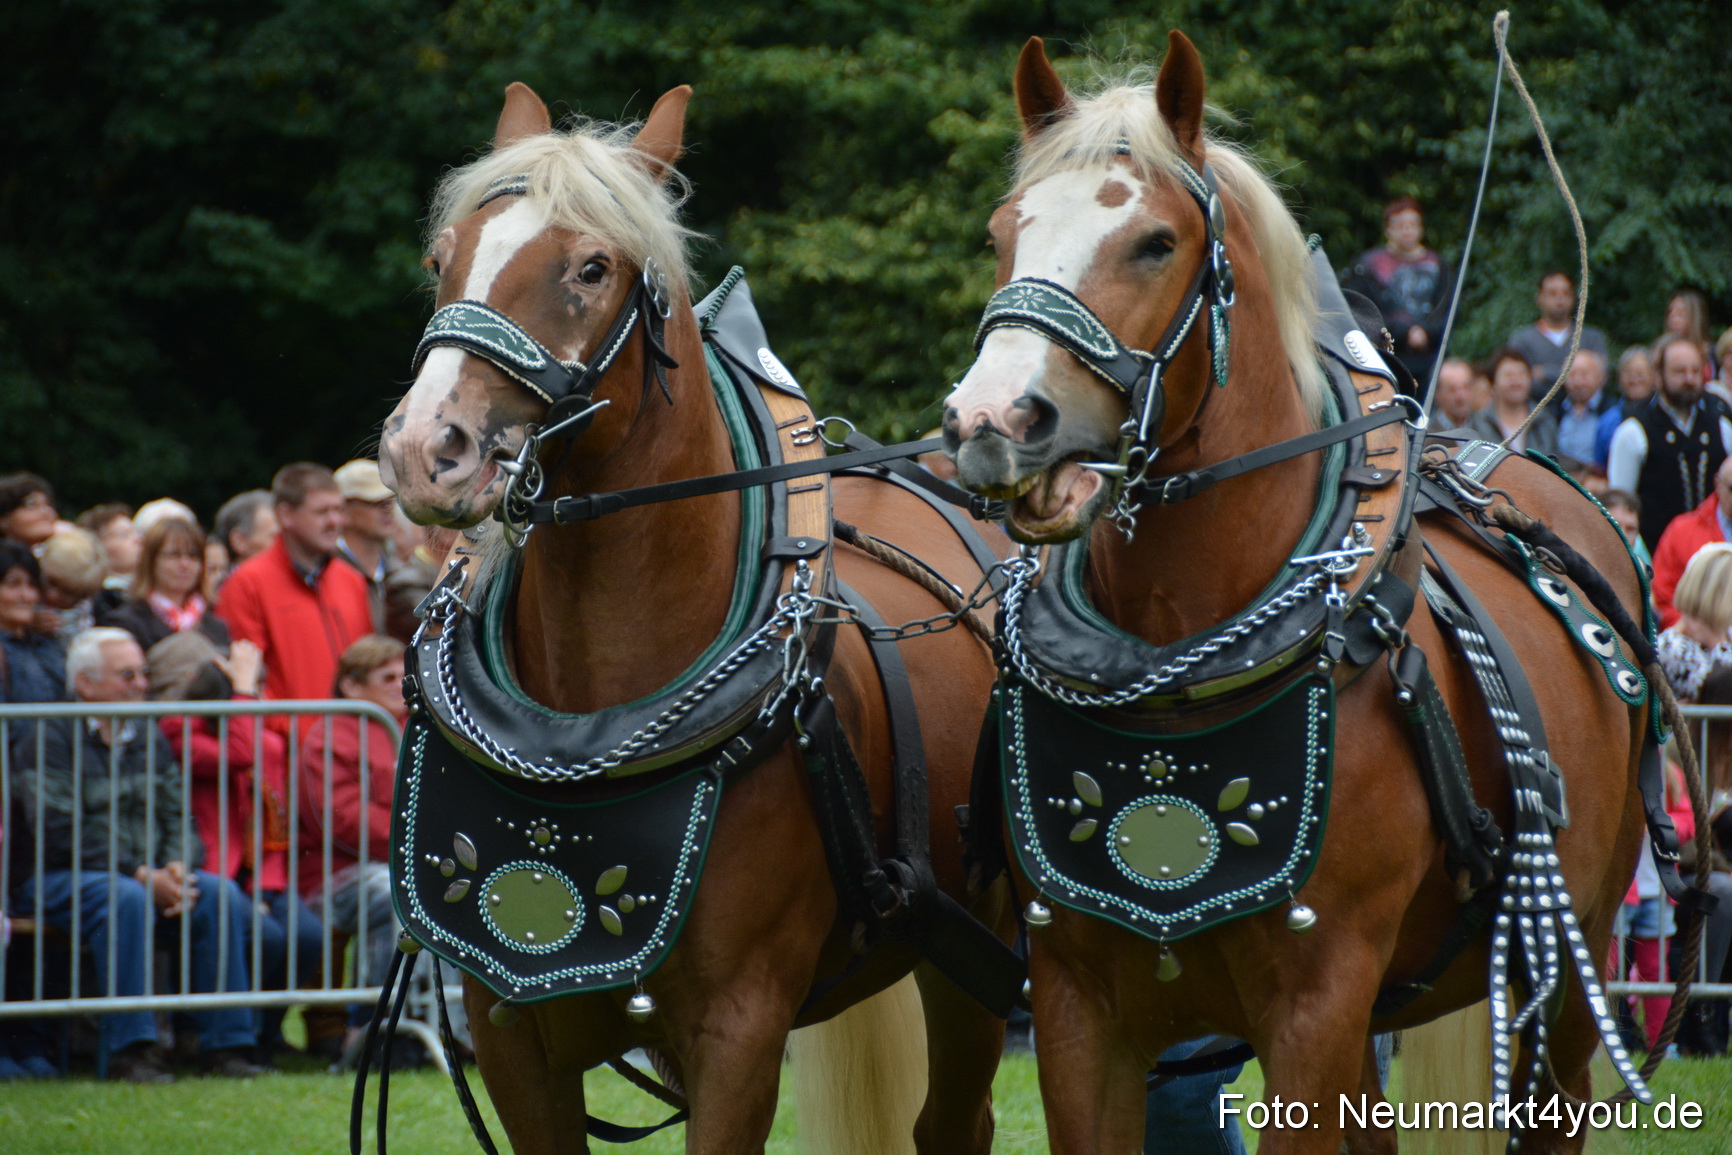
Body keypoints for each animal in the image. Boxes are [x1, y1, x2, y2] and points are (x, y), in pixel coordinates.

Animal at [378, 83, 1016, 1155]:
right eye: (443, 257)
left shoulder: (740, 1028)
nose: (430, 449)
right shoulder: (509, 1026)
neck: (592, 719)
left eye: (592, 268)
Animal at [942, 33, 1660, 1154]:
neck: (1175, 663)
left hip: (1569, 962)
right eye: (1001, 233)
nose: (991, 423)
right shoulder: (1072, 1001)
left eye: (1155, 242)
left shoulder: (1317, 1000)